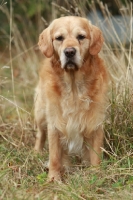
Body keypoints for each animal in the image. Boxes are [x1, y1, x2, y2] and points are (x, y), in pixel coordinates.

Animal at [34, 16, 109, 180]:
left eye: (81, 37)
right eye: (59, 38)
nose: (69, 52)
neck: (74, 88)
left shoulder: (95, 121)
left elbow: (95, 154)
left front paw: (96, 173)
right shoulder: (54, 123)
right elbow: (55, 156)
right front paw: (54, 178)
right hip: (41, 113)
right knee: (40, 134)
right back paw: (36, 153)